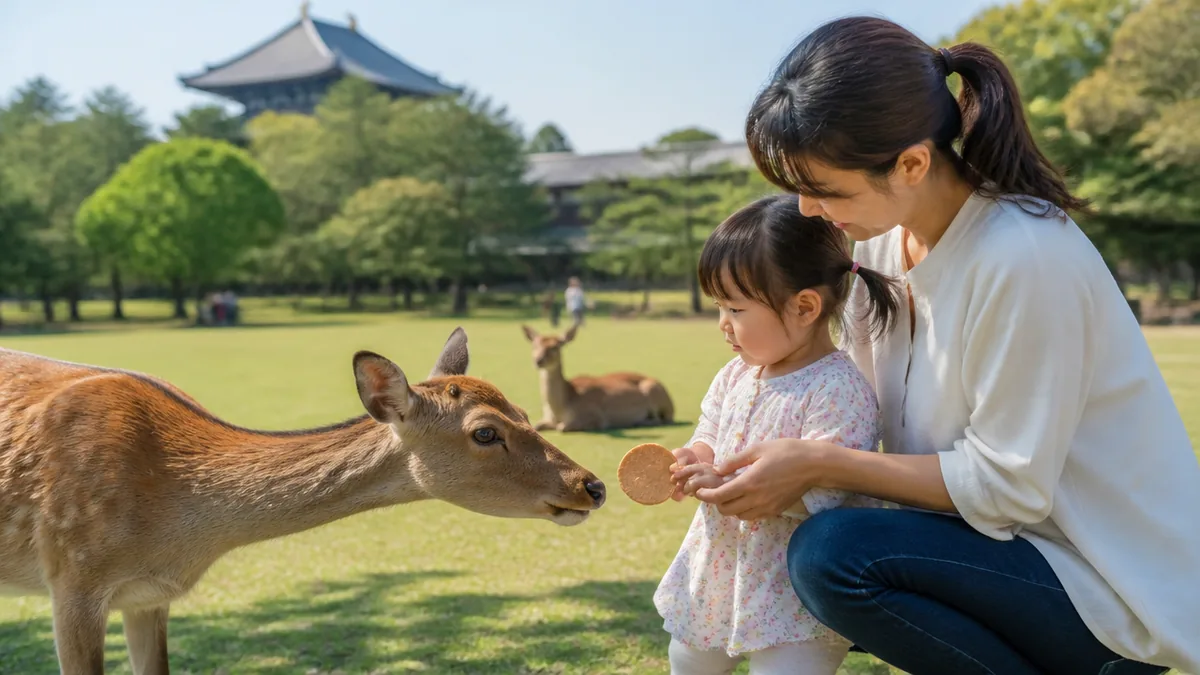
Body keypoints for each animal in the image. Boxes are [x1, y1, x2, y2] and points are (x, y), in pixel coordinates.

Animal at [521, 323, 675, 433]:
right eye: (534, 345)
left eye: (556, 347)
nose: (538, 360)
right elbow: (537, 425)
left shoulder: (593, 416)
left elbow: (562, 427)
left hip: (653, 390)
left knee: (662, 419)